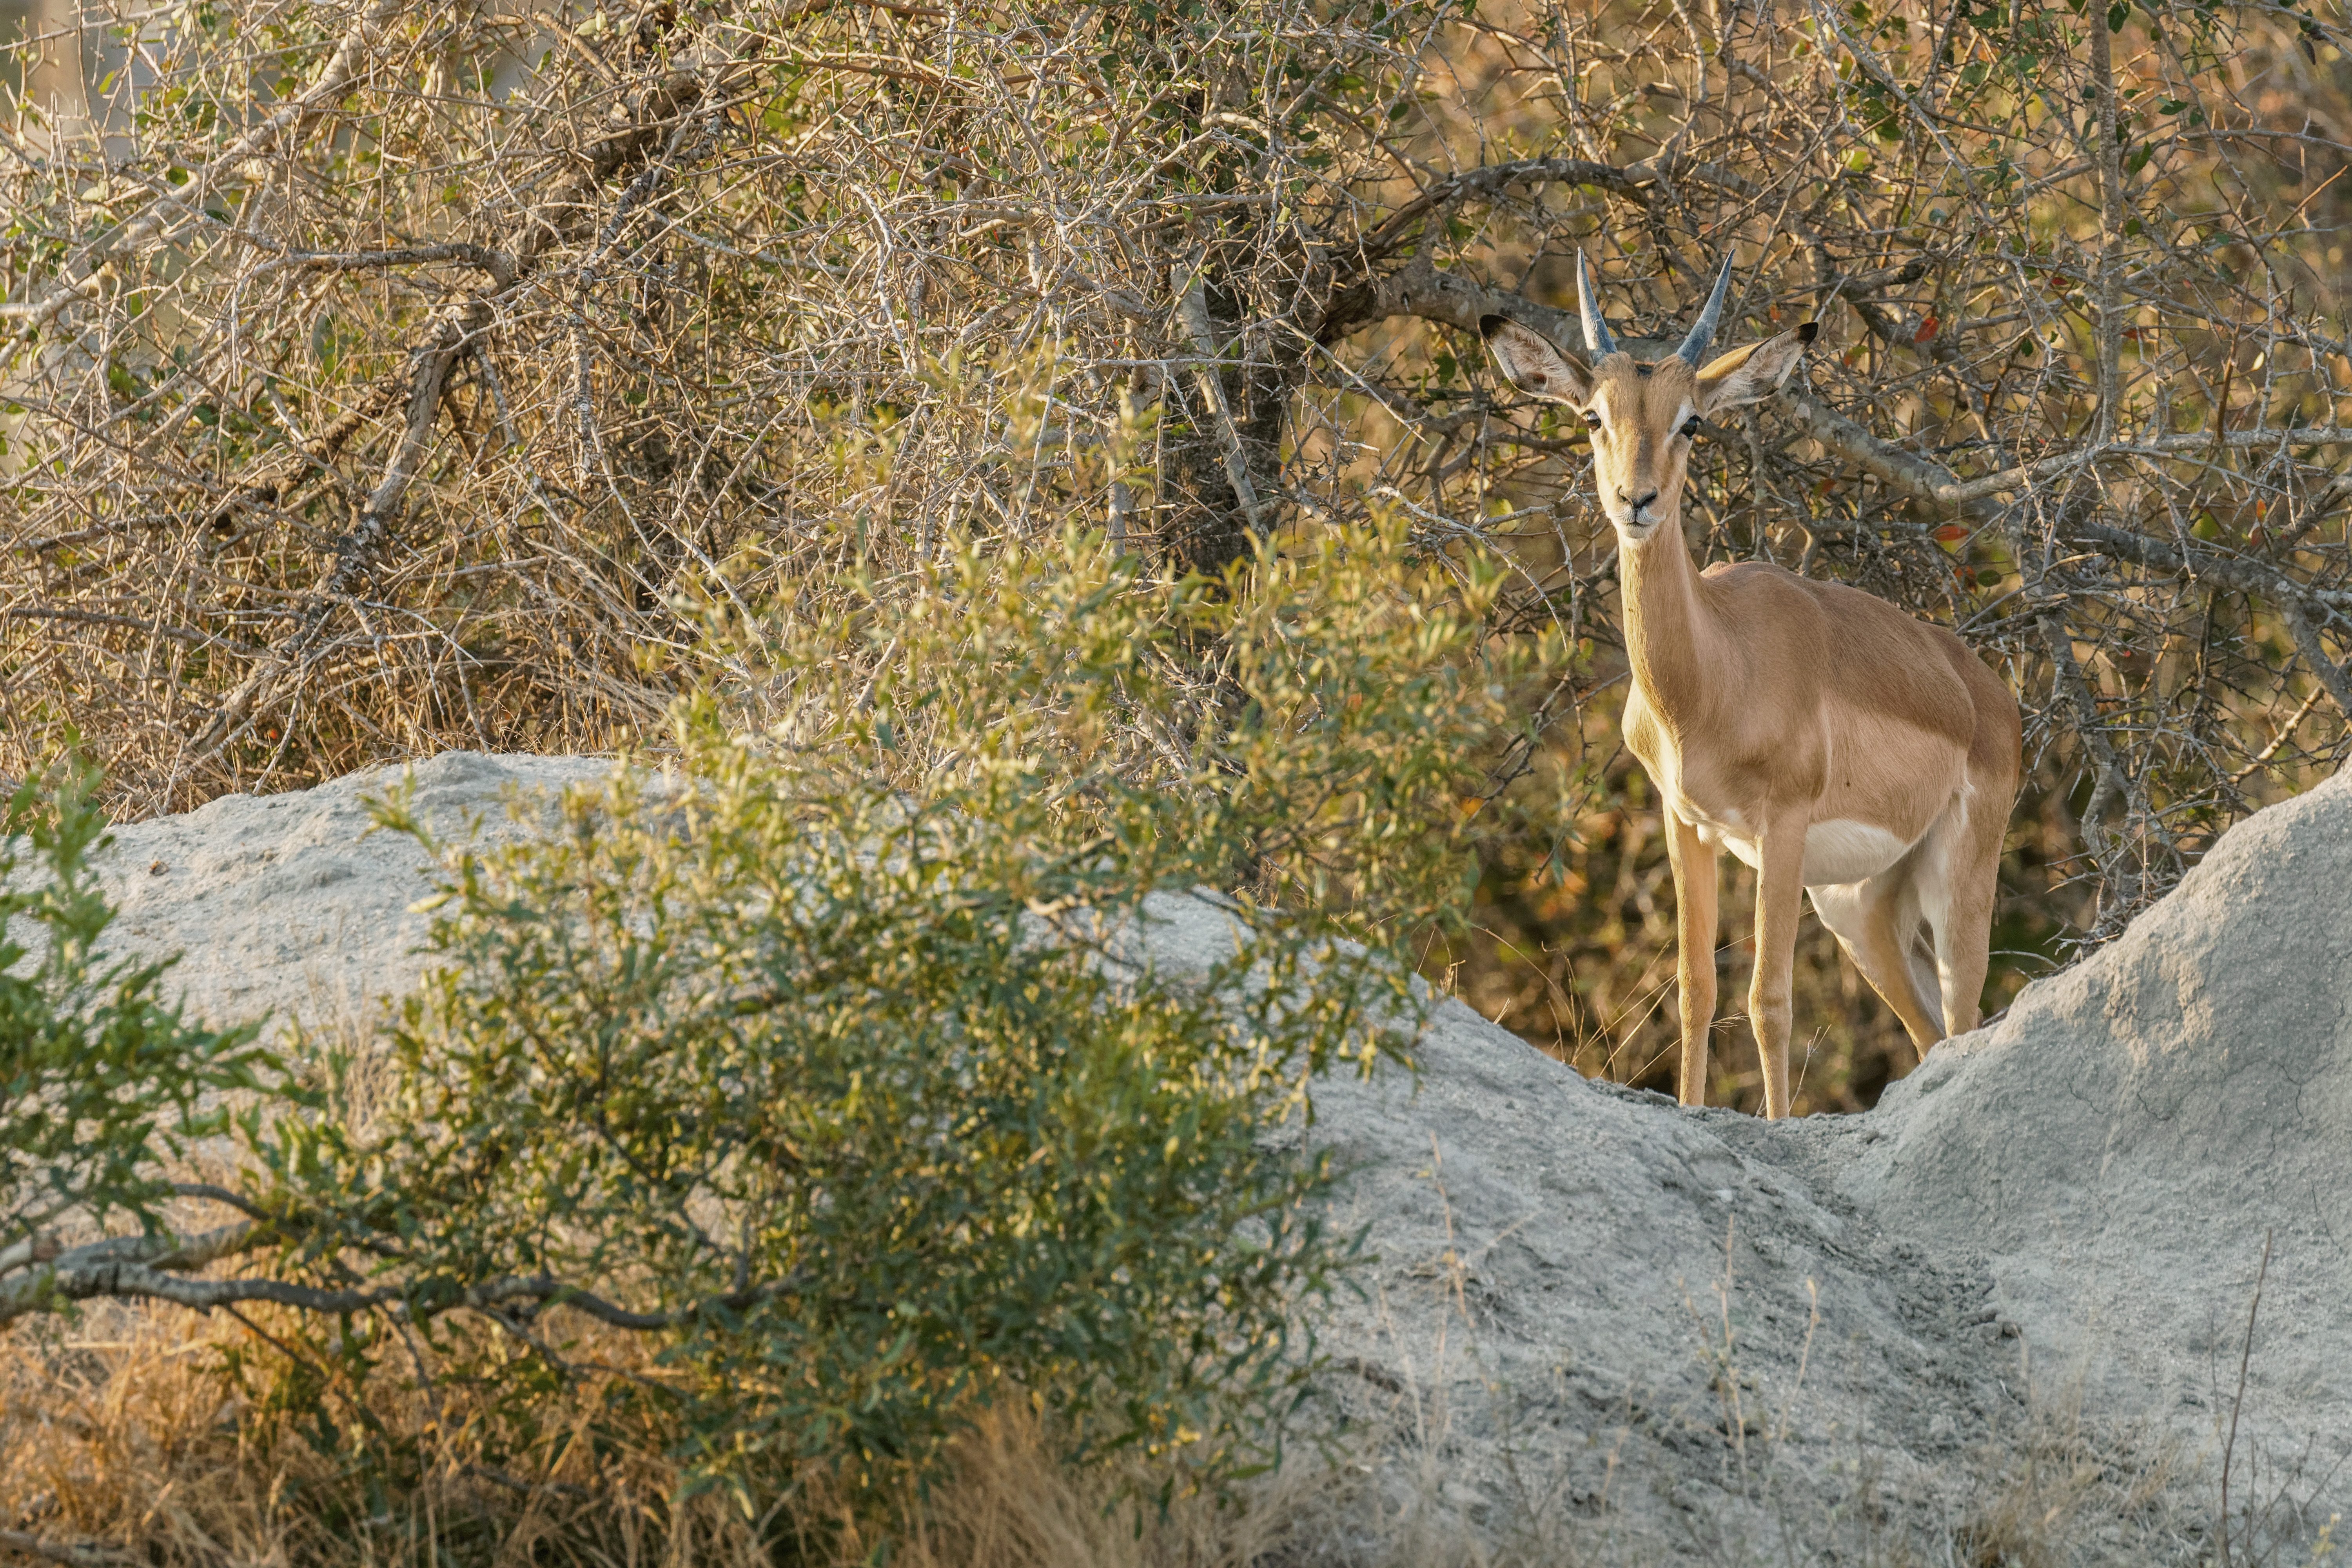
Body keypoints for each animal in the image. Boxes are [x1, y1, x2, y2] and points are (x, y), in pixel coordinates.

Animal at [1481, 255, 2020, 1119]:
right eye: (1594, 416)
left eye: (1693, 423)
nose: (1637, 501)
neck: (1712, 677)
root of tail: (1991, 697)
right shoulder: (1687, 824)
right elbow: (1696, 987)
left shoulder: (1782, 828)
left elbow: (1770, 999)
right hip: (1859, 906)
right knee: (1928, 1032)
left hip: (1954, 880)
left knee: (1966, 1016)